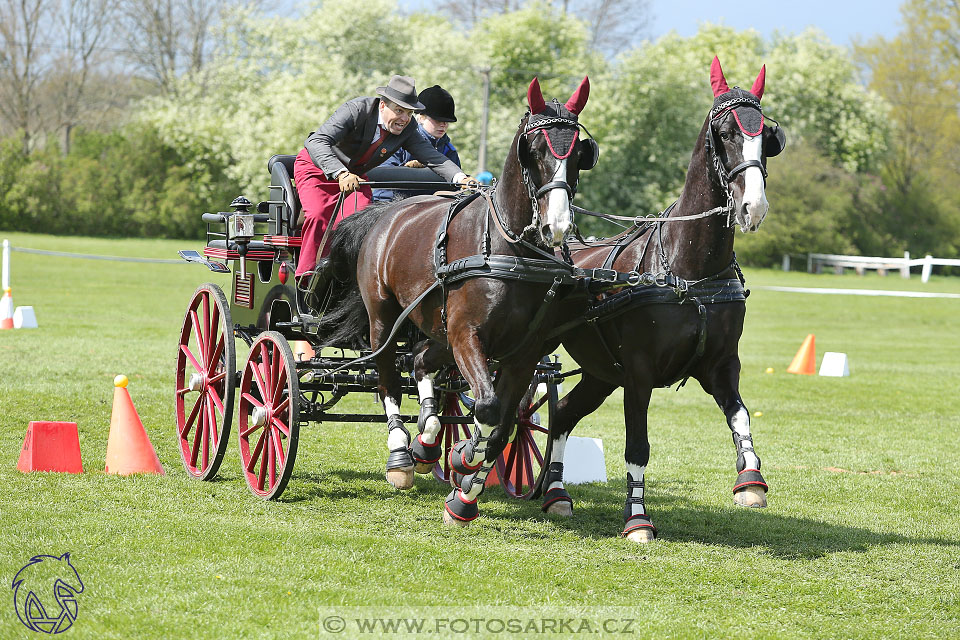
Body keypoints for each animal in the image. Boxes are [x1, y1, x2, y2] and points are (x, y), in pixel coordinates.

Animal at [318, 76, 596, 524]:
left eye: (578, 155)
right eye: (535, 151)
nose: (557, 226)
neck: (508, 248)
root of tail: (386, 213)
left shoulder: (523, 352)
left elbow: (503, 424)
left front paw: (464, 494)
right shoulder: (468, 335)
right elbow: (486, 408)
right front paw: (463, 457)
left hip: (438, 329)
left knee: (419, 362)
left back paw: (428, 441)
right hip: (385, 318)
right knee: (387, 375)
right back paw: (401, 454)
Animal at [536, 57, 784, 544]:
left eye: (766, 135)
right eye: (725, 131)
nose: (754, 207)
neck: (689, 270)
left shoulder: (721, 365)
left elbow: (741, 416)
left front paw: (751, 480)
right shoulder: (638, 373)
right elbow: (638, 447)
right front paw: (637, 518)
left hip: (600, 371)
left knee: (564, 413)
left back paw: (555, 493)